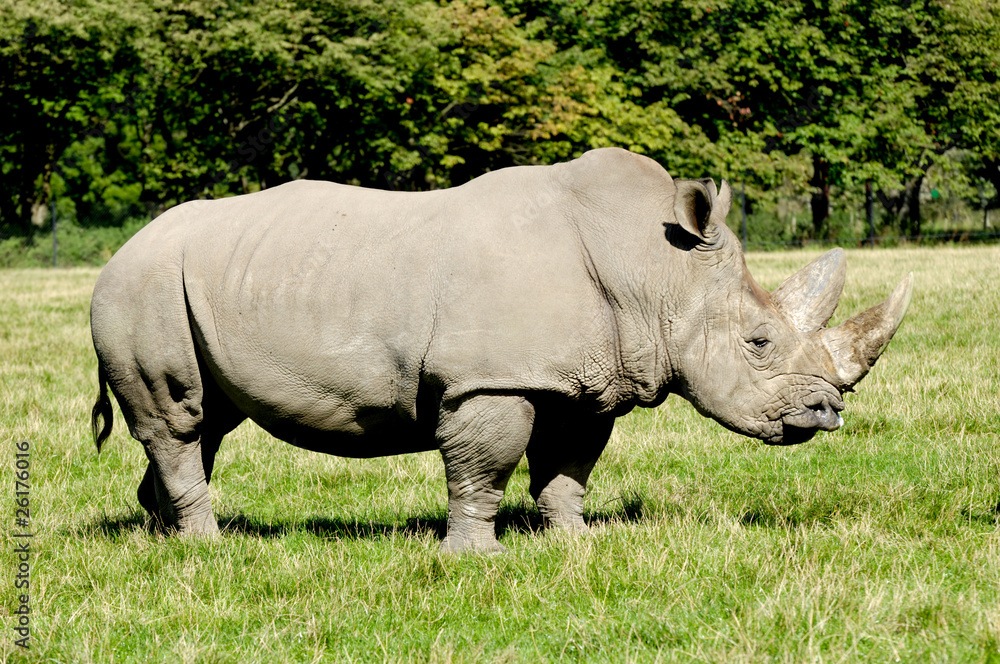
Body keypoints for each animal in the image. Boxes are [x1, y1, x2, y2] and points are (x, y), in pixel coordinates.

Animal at [90, 147, 912, 553]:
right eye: (759, 343)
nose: (827, 412)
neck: (656, 268)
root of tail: (117, 252)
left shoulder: (588, 380)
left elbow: (568, 465)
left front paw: (574, 543)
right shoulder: (490, 378)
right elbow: (485, 463)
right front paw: (473, 557)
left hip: (194, 284)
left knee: (205, 422)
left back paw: (160, 540)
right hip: (141, 286)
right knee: (180, 418)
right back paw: (207, 549)